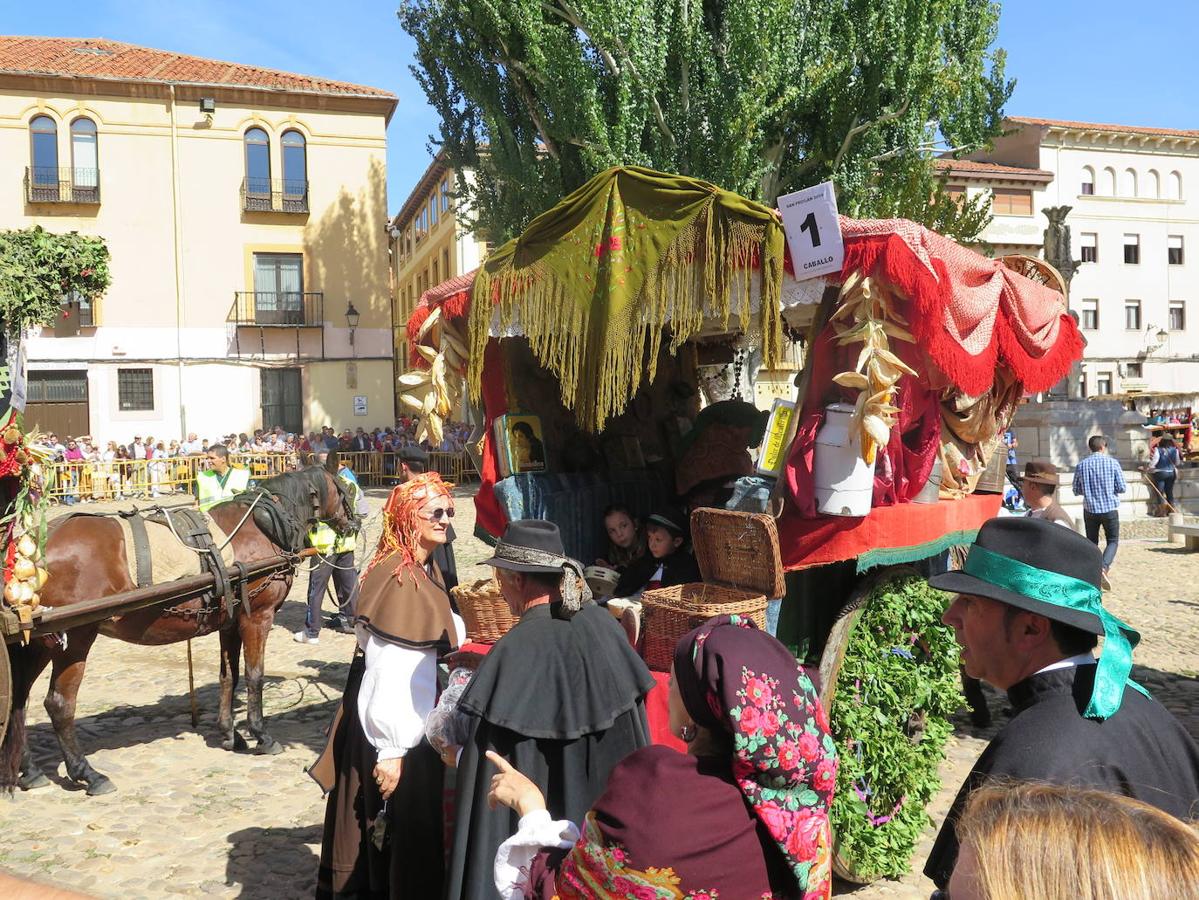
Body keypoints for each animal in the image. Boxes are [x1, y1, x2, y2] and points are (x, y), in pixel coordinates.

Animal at [0, 464, 352, 795]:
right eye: (344, 487)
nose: (354, 523)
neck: (264, 526)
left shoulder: (231, 621)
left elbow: (229, 675)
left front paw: (229, 733)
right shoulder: (257, 617)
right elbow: (254, 675)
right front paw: (261, 735)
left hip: (36, 642)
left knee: (19, 699)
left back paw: (29, 770)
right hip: (73, 638)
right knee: (58, 704)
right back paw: (87, 772)